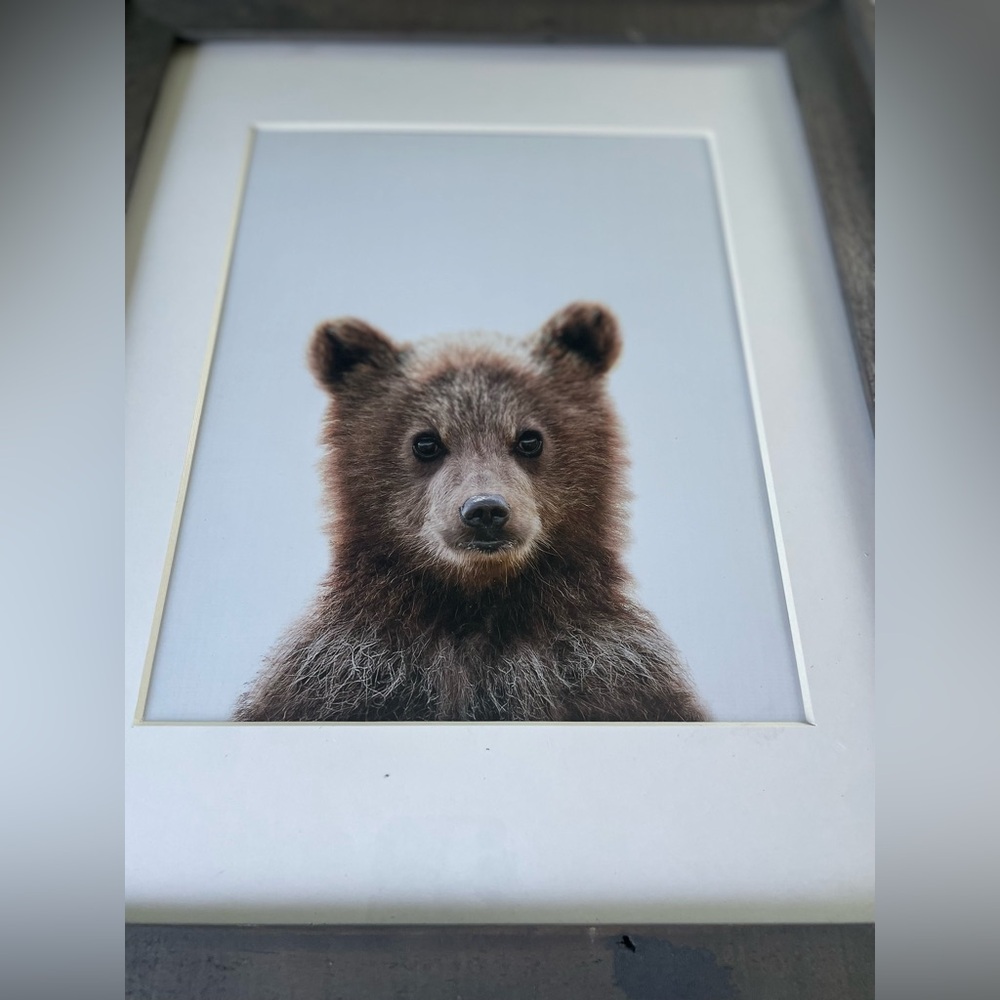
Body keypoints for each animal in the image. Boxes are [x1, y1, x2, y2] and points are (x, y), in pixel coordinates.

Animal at [233, 302, 708, 722]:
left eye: (529, 438)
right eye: (426, 441)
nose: (485, 510)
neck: (474, 605)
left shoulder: (608, 672)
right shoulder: (342, 674)